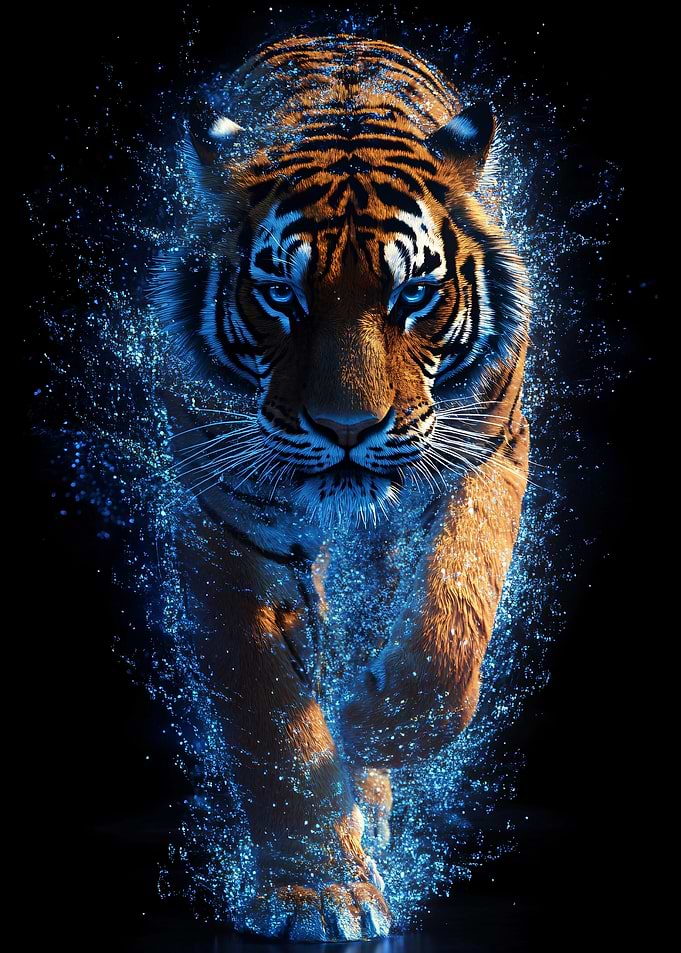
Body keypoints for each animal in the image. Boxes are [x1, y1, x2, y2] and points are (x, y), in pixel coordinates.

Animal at [154, 33, 530, 941]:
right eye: (279, 294)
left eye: (413, 294)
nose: (346, 428)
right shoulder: (229, 522)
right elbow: (270, 715)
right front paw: (316, 889)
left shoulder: (487, 450)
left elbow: (450, 624)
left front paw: (373, 726)